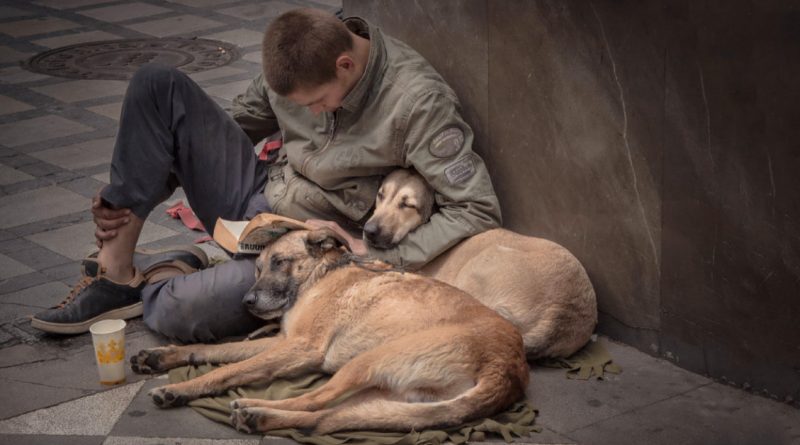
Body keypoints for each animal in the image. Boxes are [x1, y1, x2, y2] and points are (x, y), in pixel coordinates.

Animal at [132, 229, 528, 434]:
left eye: (280, 262)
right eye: (257, 268)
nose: (247, 302)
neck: (320, 275)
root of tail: (508, 368)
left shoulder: (300, 348)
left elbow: (229, 370)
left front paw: (179, 388)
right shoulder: (283, 342)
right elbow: (216, 352)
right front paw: (162, 356)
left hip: (366, 361)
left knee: (313, 400)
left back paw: (253, 409)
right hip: (389, 396)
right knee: (326, 417)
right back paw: (259, 415)